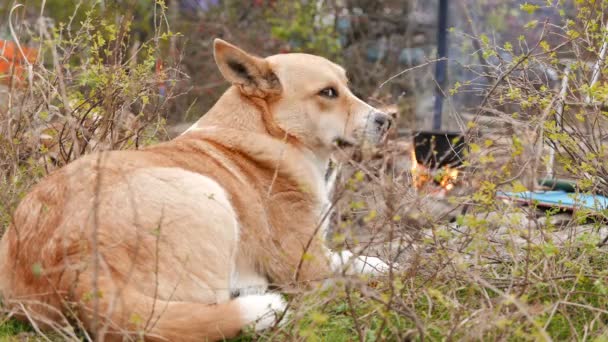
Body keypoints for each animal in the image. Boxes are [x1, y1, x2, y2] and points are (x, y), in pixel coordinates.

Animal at [0, 39, 392, 340]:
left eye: (346, 86)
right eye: (328, 93)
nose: (386, 120)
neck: (271, 131)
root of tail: (75, 262)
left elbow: (356, 257)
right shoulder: (308, 267)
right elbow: (350, 263)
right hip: (210, 195)